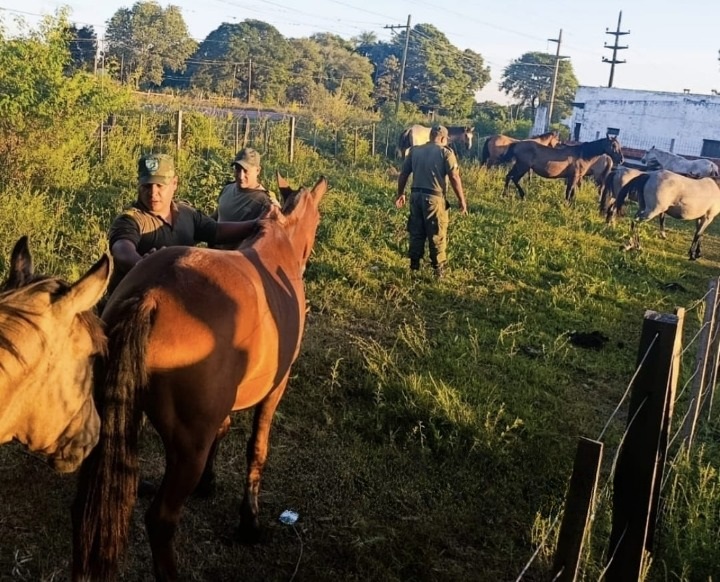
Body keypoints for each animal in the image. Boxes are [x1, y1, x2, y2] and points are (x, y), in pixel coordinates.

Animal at [72, 174, 328, 581]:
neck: (277, 250)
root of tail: (152, 295)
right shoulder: (276, 388)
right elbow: (257, 449)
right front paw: (249, 521)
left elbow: (222, 430)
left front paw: (209, 482)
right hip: (187, 447)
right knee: (160, 520)